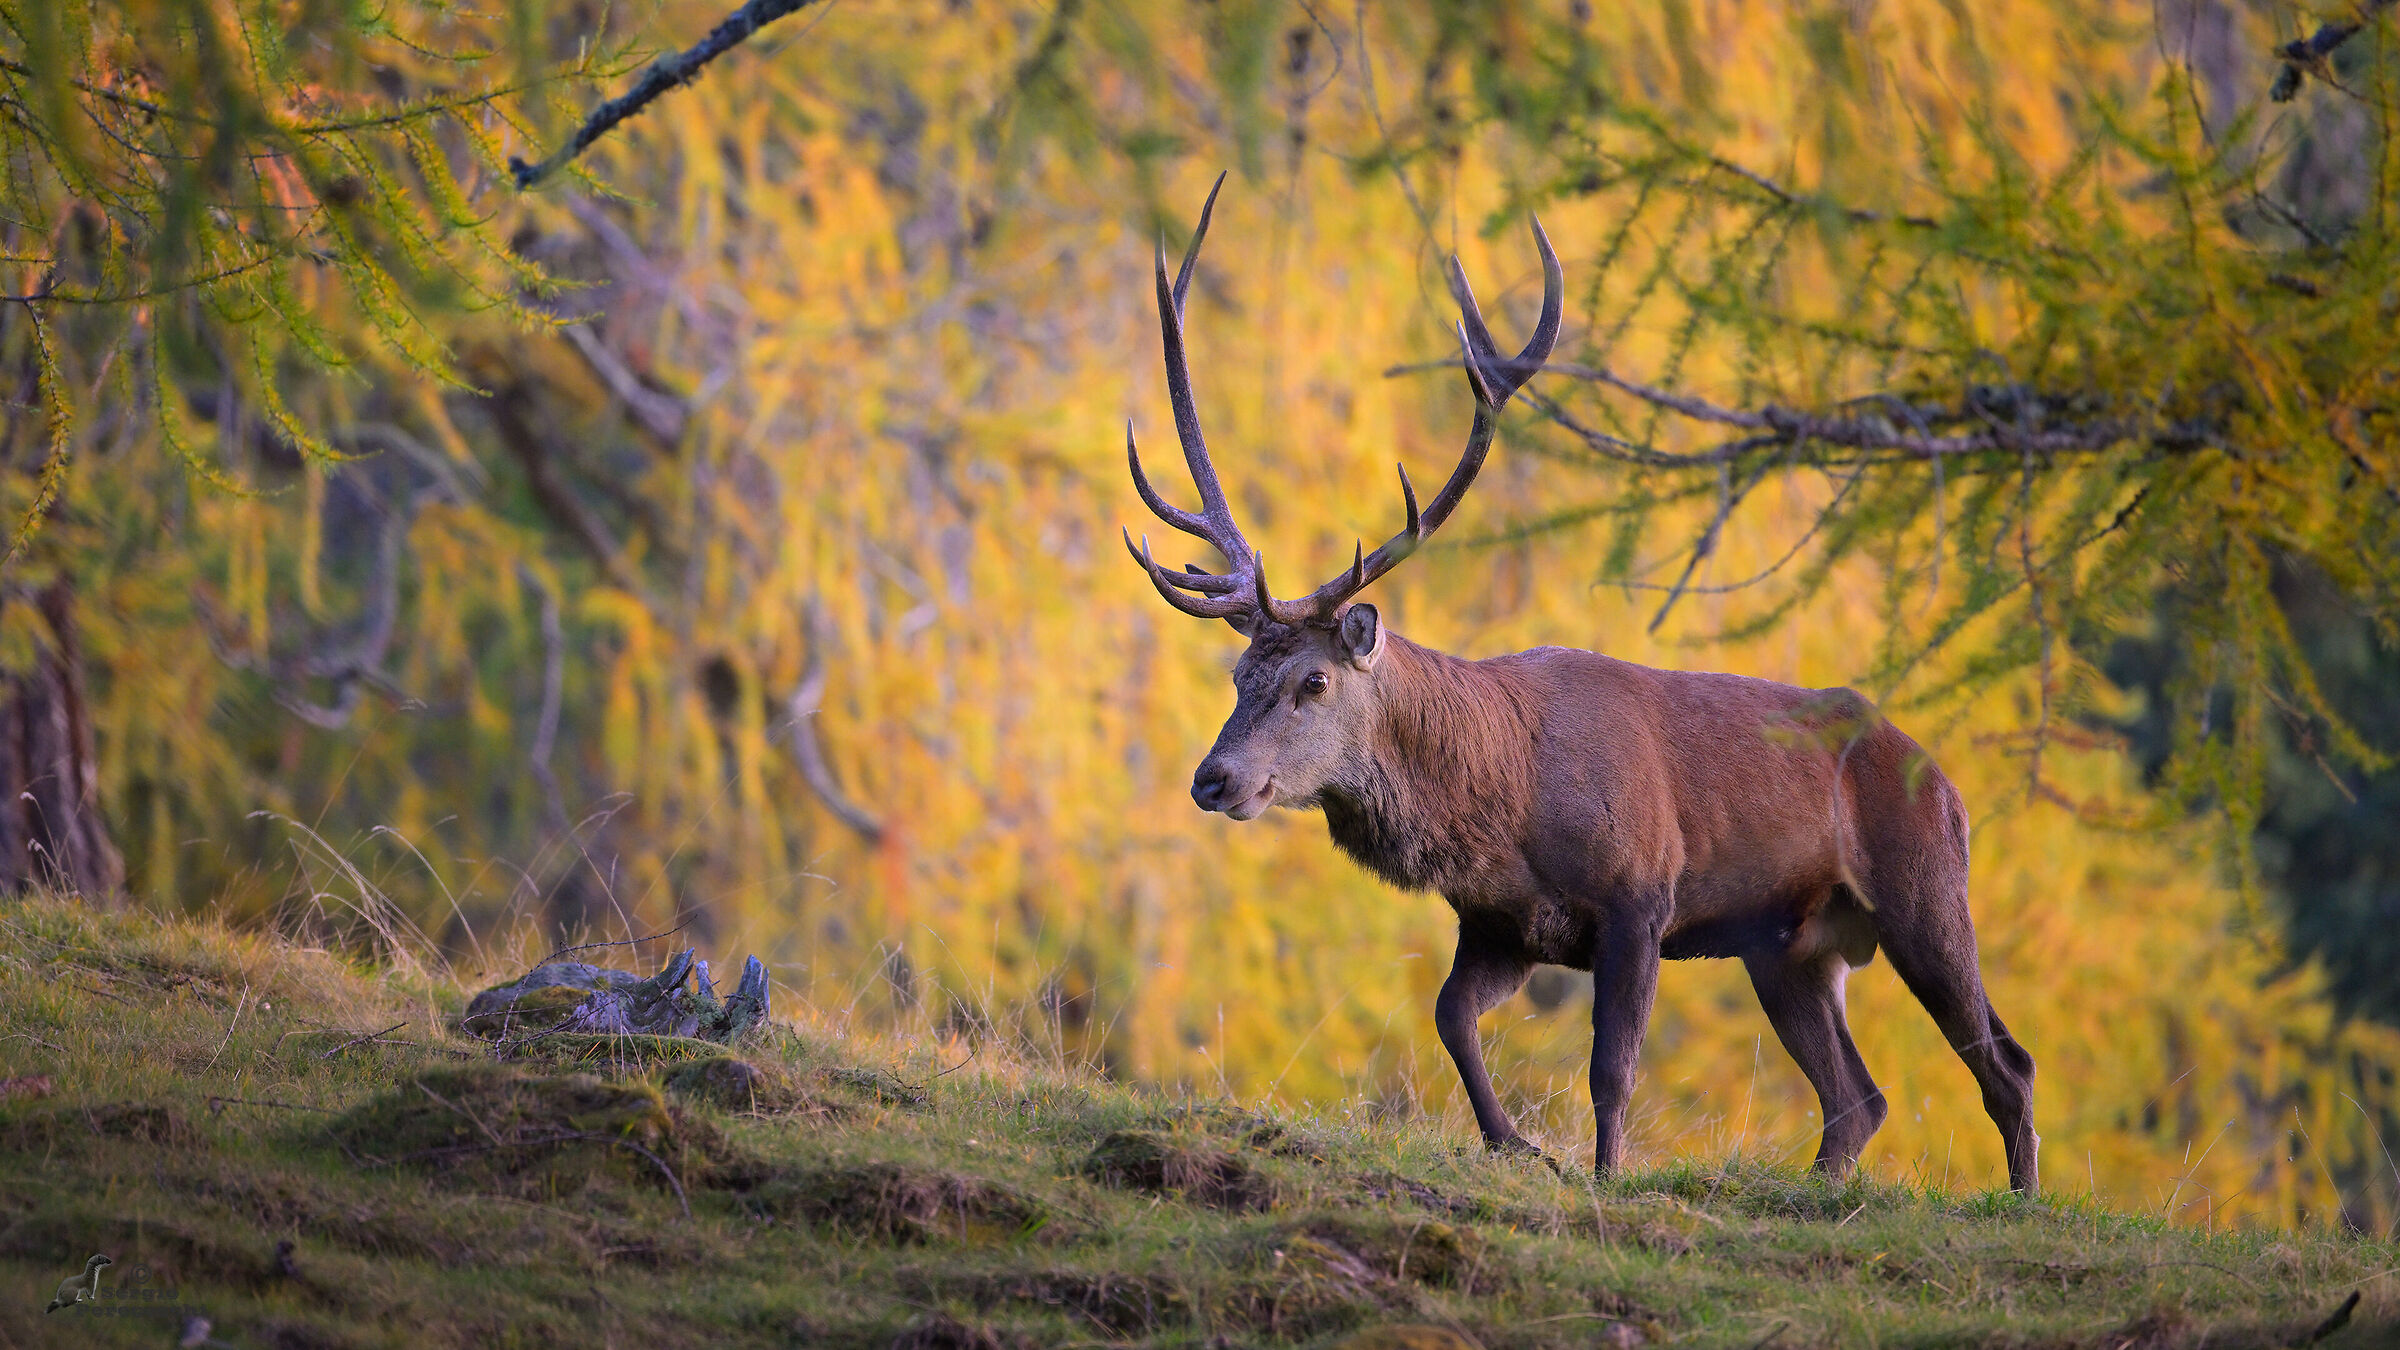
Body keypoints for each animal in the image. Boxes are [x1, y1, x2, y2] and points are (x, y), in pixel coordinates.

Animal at [1120, 179, 2039, 1193]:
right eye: (1239, 672)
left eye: (1314, 680)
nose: (1215, 778)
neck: (1504, 802)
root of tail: (1945, 781)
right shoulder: (1501, 922)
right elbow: (1449, 1017)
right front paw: (1513, 1141)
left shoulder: (1642, 894)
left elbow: (1613, 1066)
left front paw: (1602, 1176)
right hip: (1788, 947)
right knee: (1860, 1097)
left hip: (1926, 888)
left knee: (2007, 1062)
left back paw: (2021, 1199)